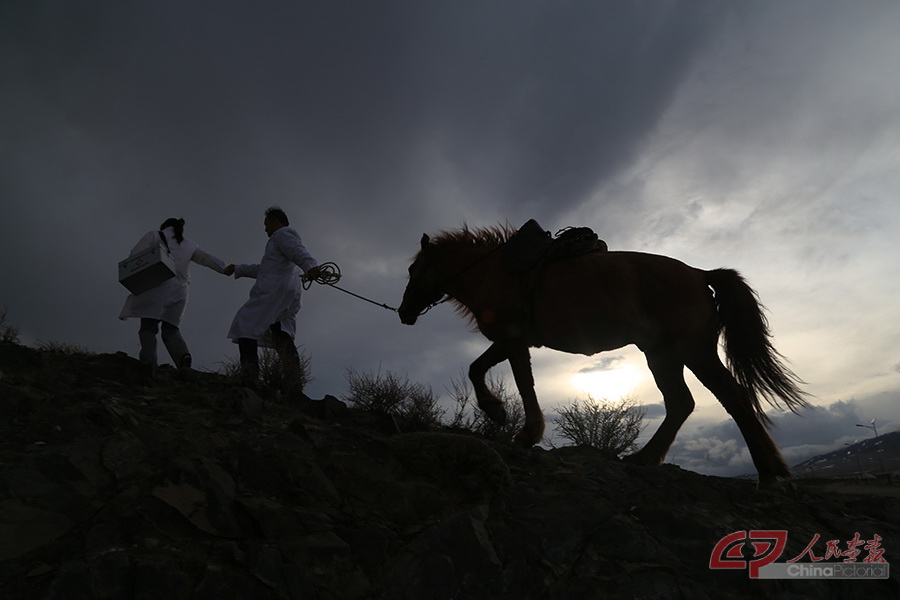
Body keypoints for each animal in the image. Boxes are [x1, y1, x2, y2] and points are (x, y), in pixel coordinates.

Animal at [400, 224, 808, 488]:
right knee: (681, 403)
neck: (494, 272)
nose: (404, 312)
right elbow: (477, 368)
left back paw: (769, 471)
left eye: (413, 268)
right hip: (662, 354)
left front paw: (522, 429)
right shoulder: (507, 341)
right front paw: (498, 412)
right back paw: (646, 458)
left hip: (693, 350)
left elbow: (520, 383)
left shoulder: (514, 341)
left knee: (731, 397)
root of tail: (698, 272)